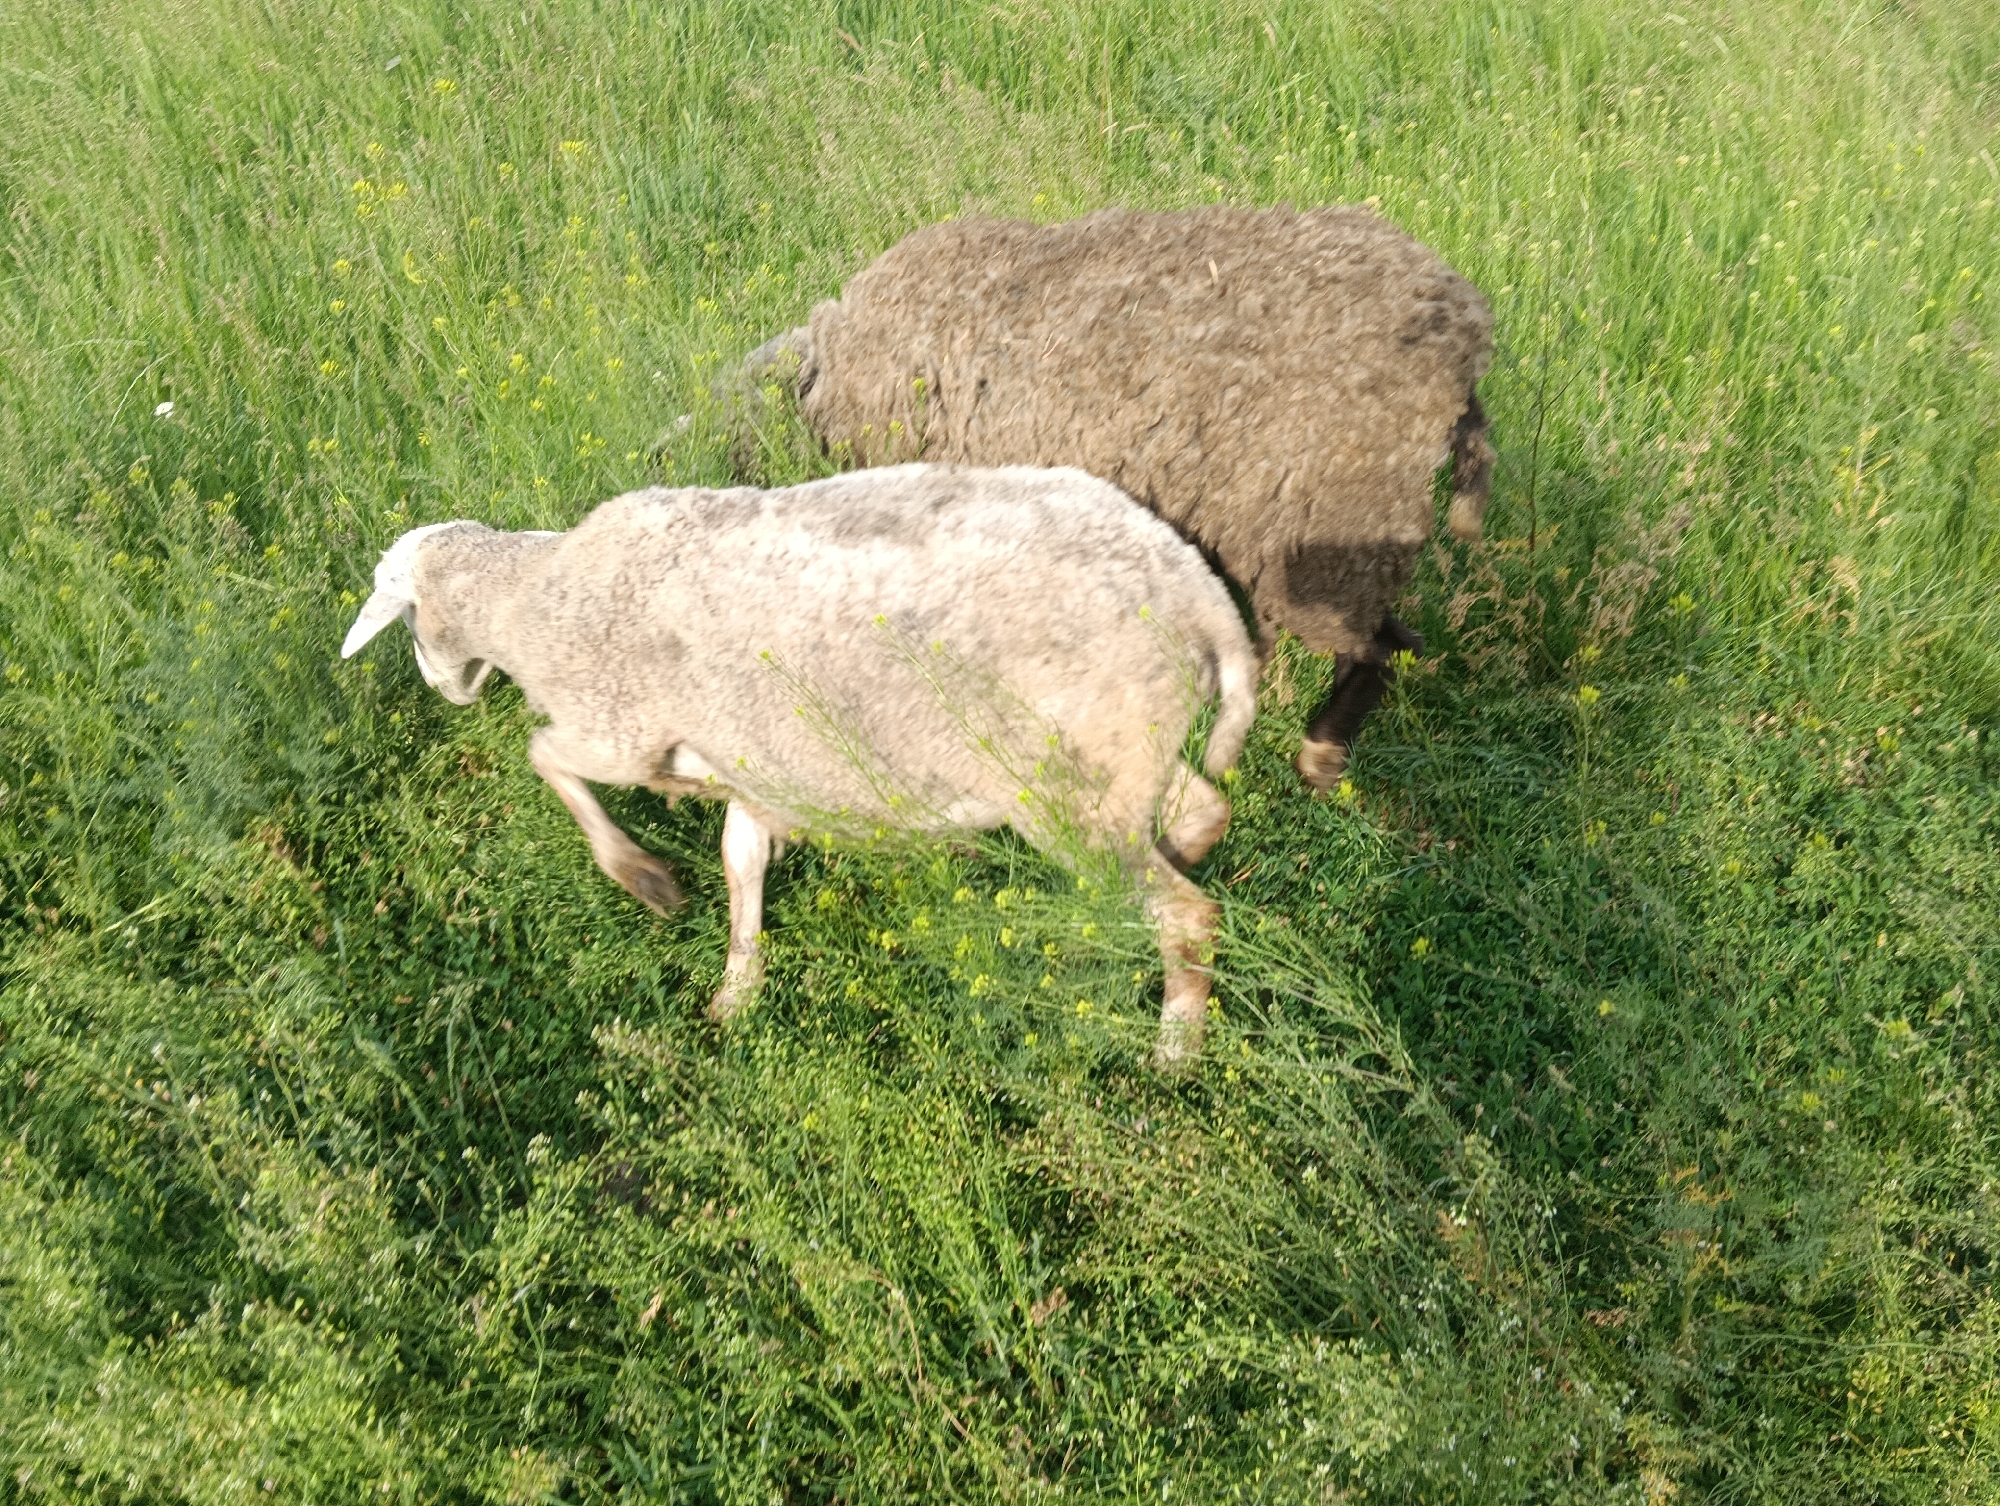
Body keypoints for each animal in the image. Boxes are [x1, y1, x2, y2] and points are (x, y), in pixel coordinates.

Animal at [340, 463, 1259, 1066]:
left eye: (406, 619)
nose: (446, 689)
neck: (534, 600)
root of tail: (1204, 601)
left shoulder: (618, 726)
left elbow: (545, 757)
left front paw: (645, 877)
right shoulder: (754, 758)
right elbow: (740, 860)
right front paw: (736, 990)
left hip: (1068, 782)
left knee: (1188, 914)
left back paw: (1172, 1053)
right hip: (1117, 752)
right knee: (1200, 811)